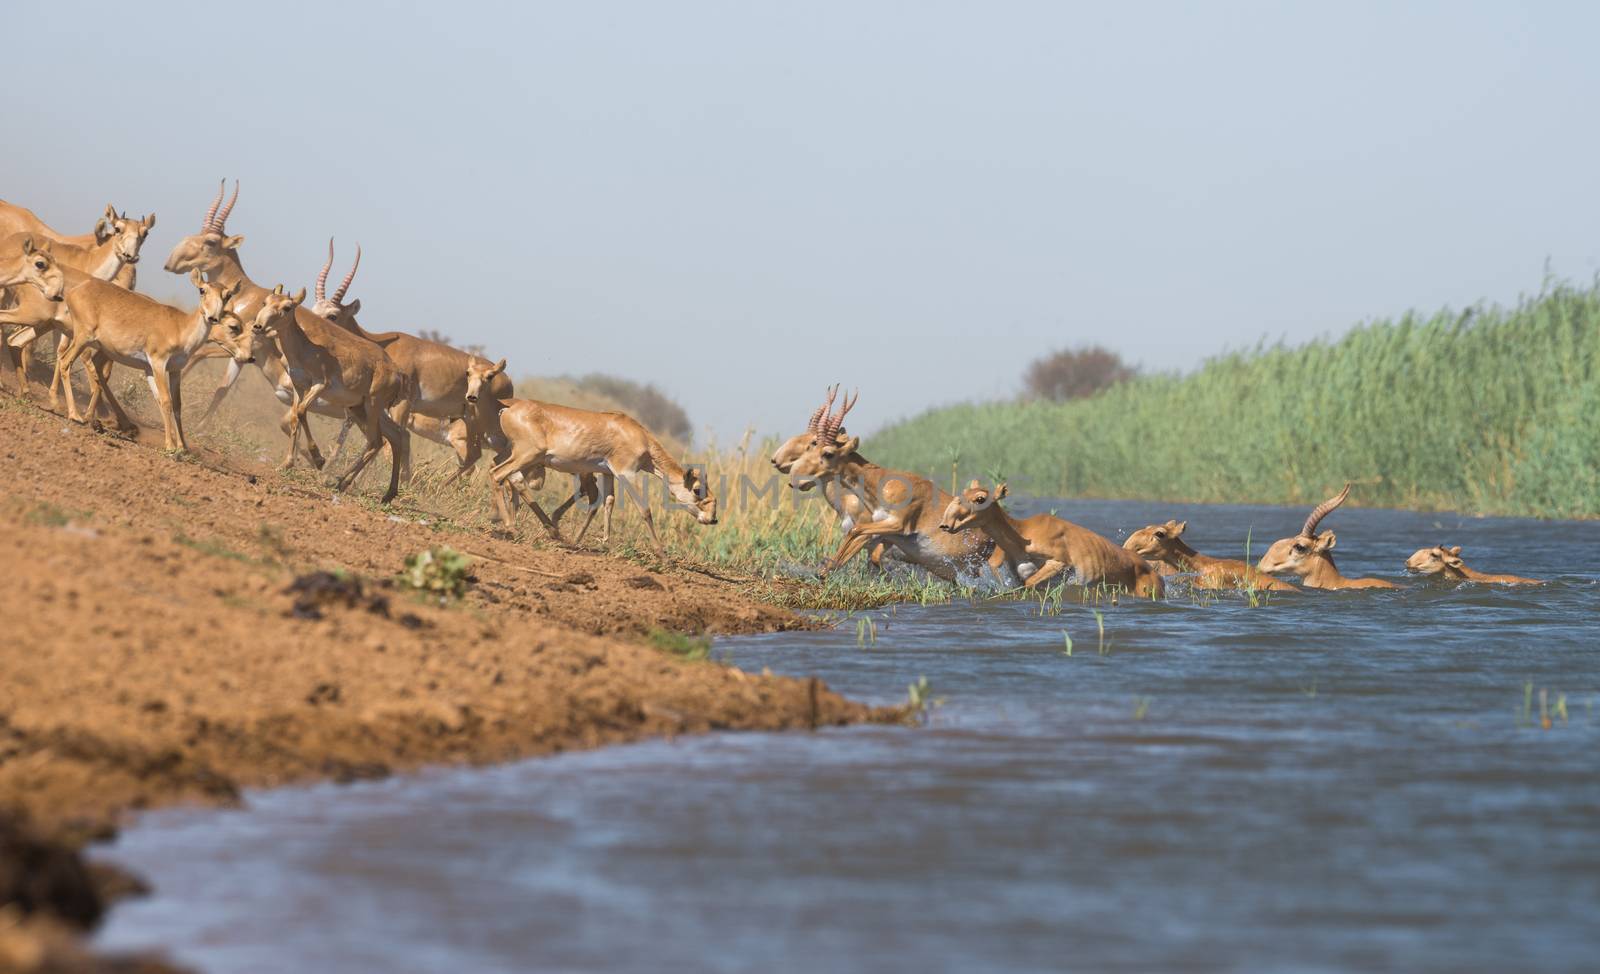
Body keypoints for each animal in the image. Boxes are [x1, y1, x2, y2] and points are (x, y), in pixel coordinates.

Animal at [460, 358, 716, 553]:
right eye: (697, 490)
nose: (712, 519)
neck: (636, 433)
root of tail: (507, 409)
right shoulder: (627, 473)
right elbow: (643, 508)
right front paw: (661, 551)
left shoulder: (608, 473)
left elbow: (607, 502)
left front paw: (602, 542)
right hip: (526, 455)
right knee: (498, 474)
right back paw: (511, 526)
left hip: (517, 455)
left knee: (506, 476)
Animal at [934, 476, 1164, 591]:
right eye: (963, 492)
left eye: (980, 498)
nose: (945, 525)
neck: (1022, 536)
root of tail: (1157, 576)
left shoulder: (1059, 561)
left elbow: (1029, 583)